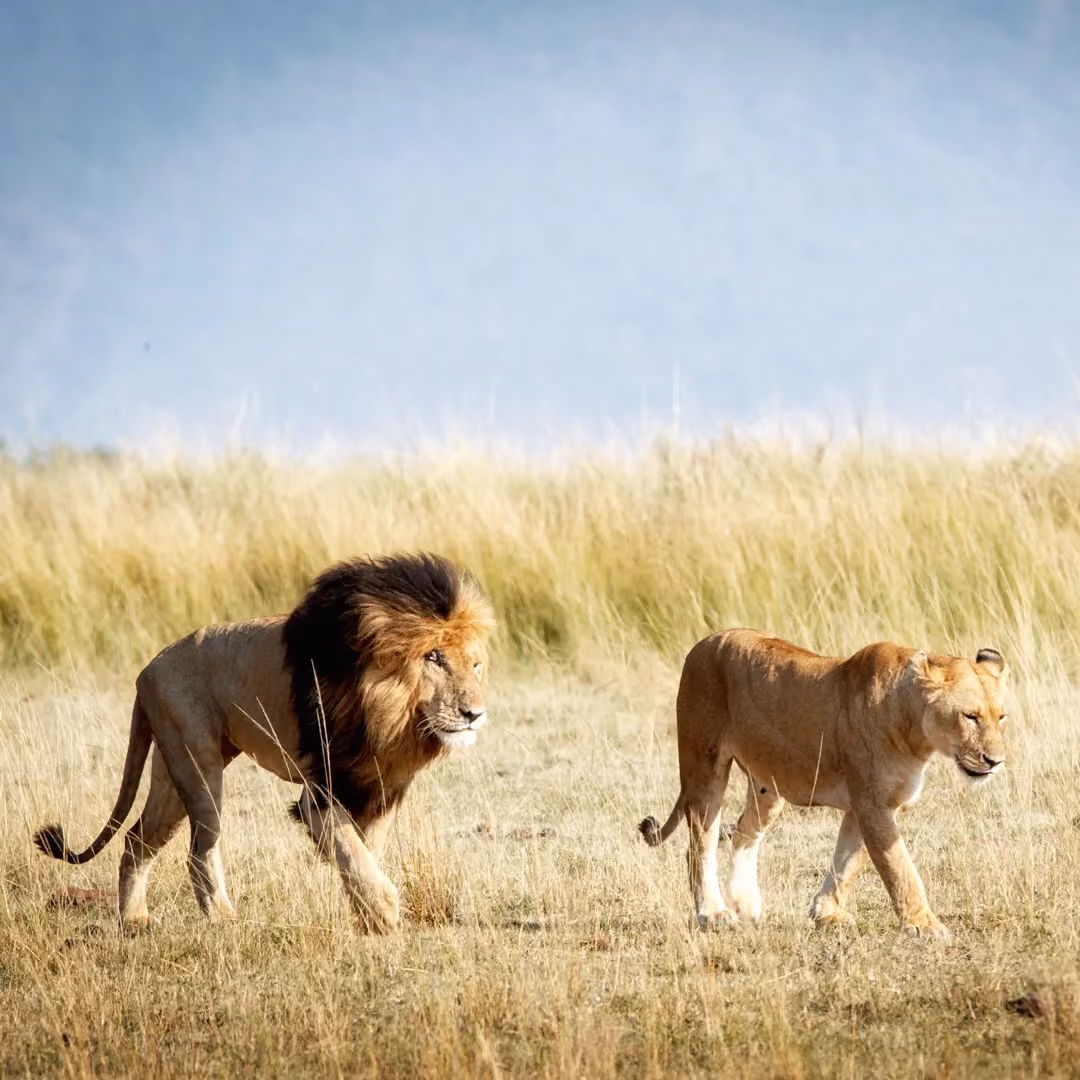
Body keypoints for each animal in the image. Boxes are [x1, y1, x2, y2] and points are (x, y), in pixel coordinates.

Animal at [34, 552, 495, 934]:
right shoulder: (320, 792)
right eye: (434, 657)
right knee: (199, 850)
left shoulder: (382, 786)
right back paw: (223, 919)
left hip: (171, 770)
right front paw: (382, 913)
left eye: (475, 665)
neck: (391, 715)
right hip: (199, 766)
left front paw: (365, 916)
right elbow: (351, 849)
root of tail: (146, 671)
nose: (475, 714)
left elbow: (366, 850)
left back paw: (134, 920)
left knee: (136, 840)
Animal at [639, 630, 1008, 941]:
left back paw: (747, 905)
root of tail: (706, 640)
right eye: (970, 716)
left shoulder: (869, 806)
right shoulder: (871, 803)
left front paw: (826, 914)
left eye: (1001, 717)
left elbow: (847, 862)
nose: (995, 761)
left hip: (768, 786)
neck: (914, 728)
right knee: (700, 843)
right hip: (705, 764)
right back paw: (714, 913)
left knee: (744, 834)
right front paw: (925, 926)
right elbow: (899, 867)